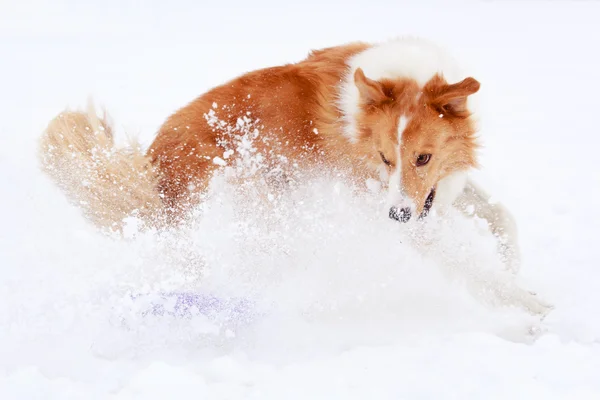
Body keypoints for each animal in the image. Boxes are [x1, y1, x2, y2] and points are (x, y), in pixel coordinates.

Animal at [39, 39, 552, 318]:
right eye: (385, 158)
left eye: (422, 157)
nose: (398, 217)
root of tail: (154, 157)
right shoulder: (386, 205)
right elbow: (473, 269)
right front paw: (530, 312)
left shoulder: (434, 192)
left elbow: (500, 216)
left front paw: (512, 263)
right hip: (254, 196)